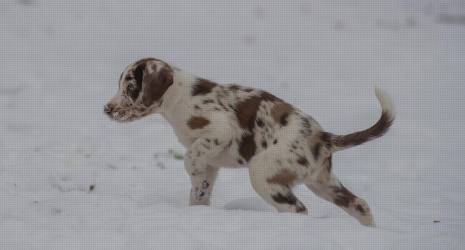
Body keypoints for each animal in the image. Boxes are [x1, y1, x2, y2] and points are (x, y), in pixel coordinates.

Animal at [105, 58, 396, 227]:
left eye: (130, 87)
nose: (106, 110)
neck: (179, 98)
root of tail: (323, 137)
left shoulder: (220, 130)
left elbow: (191, 158)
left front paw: (191, 173)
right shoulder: (212, 164)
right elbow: (200, 191)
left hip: (263, 174)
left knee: (298, 209)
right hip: (322, 182)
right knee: (360, 204)